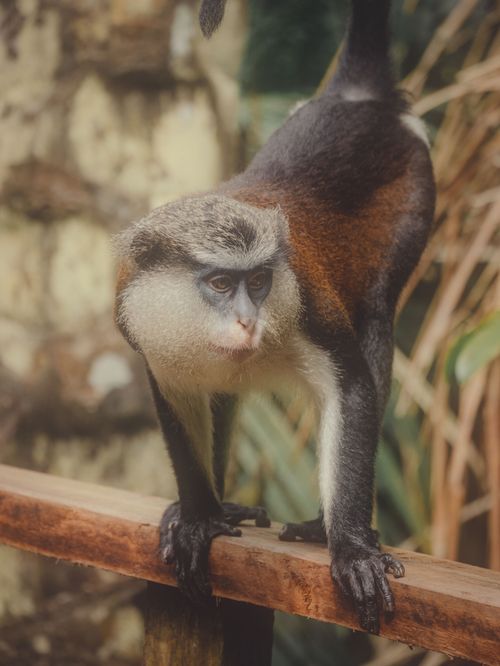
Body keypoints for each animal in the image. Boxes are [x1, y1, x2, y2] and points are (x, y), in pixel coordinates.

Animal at [114, 0, 435, 634]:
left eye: (259, 283)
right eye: (220, 284)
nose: (248, 322)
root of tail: (357, 100)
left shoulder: (306, 303)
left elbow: (353, 387)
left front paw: (351, 548)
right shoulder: (146, 330)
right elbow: (179, 401)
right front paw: (200, 518)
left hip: (414, 201)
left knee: (376, 320)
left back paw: (324, 525)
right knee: (221, 394)